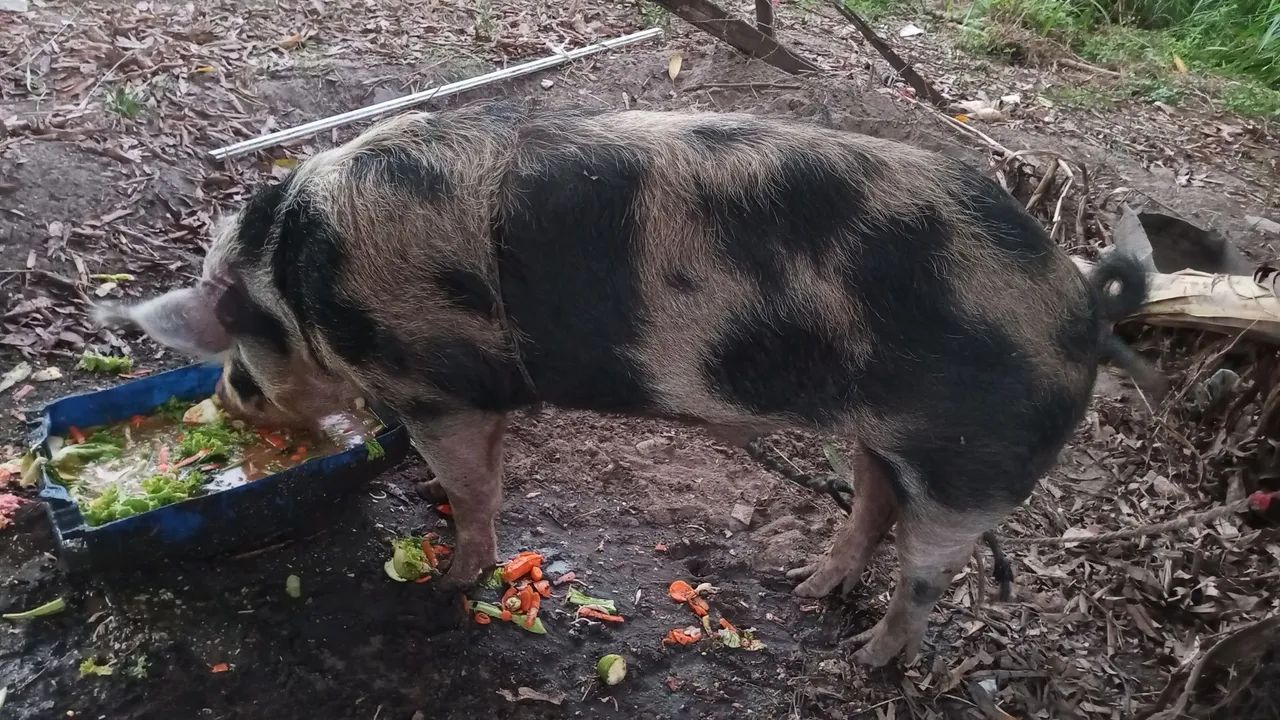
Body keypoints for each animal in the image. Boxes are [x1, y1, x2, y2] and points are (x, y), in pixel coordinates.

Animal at [94, 102, 1157, 666]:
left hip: (975, 466)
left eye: (234, 359)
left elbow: (476, 488)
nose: (223, 403)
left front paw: (451, 581)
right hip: (879, 427)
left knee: (930, 567)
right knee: (874, 498)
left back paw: (869, 658)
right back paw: (807, 587)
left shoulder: (444, 389)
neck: (297, 279)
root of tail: (1082, 306)